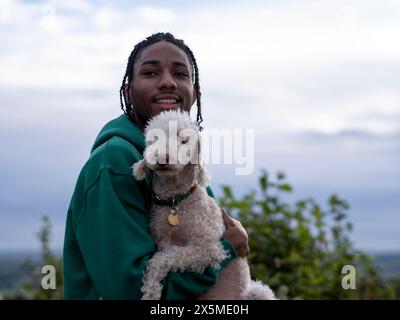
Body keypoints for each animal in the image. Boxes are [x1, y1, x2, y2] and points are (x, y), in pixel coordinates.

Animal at [131, 110, 276, 300]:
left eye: (184, 140)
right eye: (154, 139)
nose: (161, 158)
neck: (175, 202)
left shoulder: (210, 248)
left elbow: (162, 259)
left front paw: (151, 291)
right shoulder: (161, 239)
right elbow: (159, 258)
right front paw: (151, 291)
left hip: (257, 291)